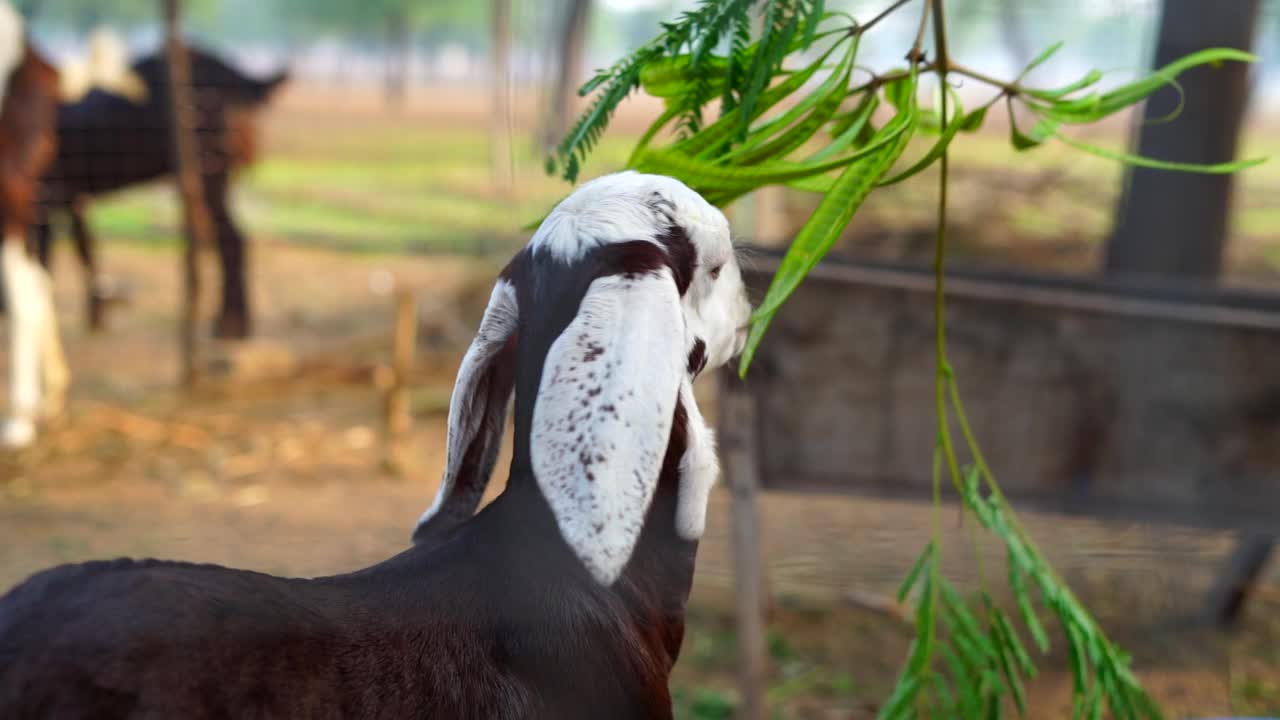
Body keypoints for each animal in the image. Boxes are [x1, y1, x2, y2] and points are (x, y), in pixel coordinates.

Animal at [32, 44, 288, 333]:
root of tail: (235, 77)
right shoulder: (72, 195)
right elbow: (84, 245)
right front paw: (97, 313)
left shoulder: (45, 194)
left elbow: (43, 257)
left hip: (208, 172)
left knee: (231, 237)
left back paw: (230, 324)